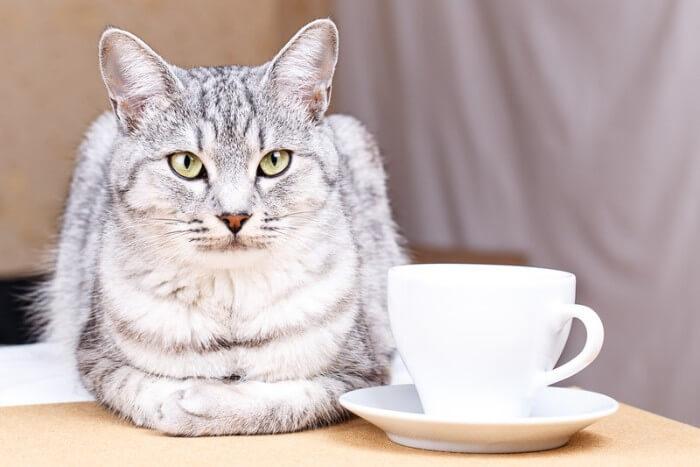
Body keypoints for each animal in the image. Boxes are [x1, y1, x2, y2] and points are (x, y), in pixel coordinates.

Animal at [34, 18, 404, 436]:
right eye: (185, 163)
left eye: (275, 161)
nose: (235, 216)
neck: (230, 298)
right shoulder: (95, 356)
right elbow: (139, 387)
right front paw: (175, 399)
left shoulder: (360, 370)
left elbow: (284, 400)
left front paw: (204, 403)